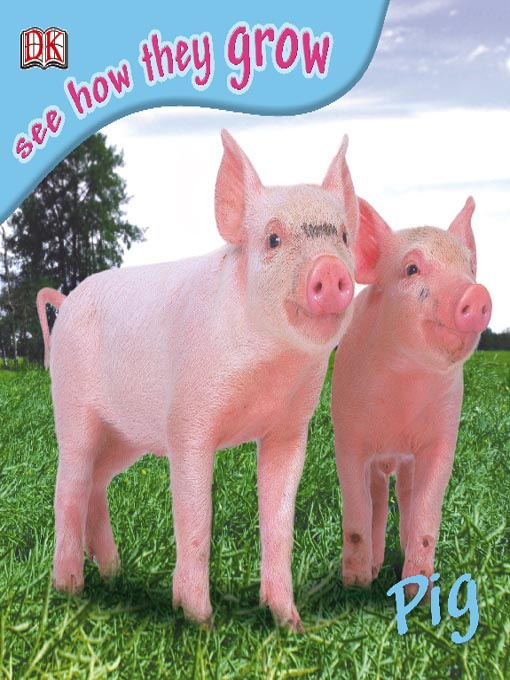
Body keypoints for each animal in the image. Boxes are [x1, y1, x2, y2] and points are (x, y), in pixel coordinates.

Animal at [37, 130, 359, 631]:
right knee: (67, 487)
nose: (330, 270)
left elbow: (279, 520)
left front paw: (291, 625)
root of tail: (66, 302)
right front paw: (200, 624)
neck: (268, 372)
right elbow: (195, 517)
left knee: (96, 483)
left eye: (343, 236)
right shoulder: (187, 421)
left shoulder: (290, 428)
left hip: (125, 437)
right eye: (272, 238)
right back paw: (71, 589)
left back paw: (113, 573)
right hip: (72, 407)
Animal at [331, 196, 491, 592]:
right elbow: (356, 508)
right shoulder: (348, 435)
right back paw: (373, 571)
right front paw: (355, 584)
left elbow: (426, 510)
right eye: (412, 268)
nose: (477, 293)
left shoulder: (443, 436)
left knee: (403, 495)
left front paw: (420, 589)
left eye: (470, 268)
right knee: (376, 500)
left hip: (406, 463)